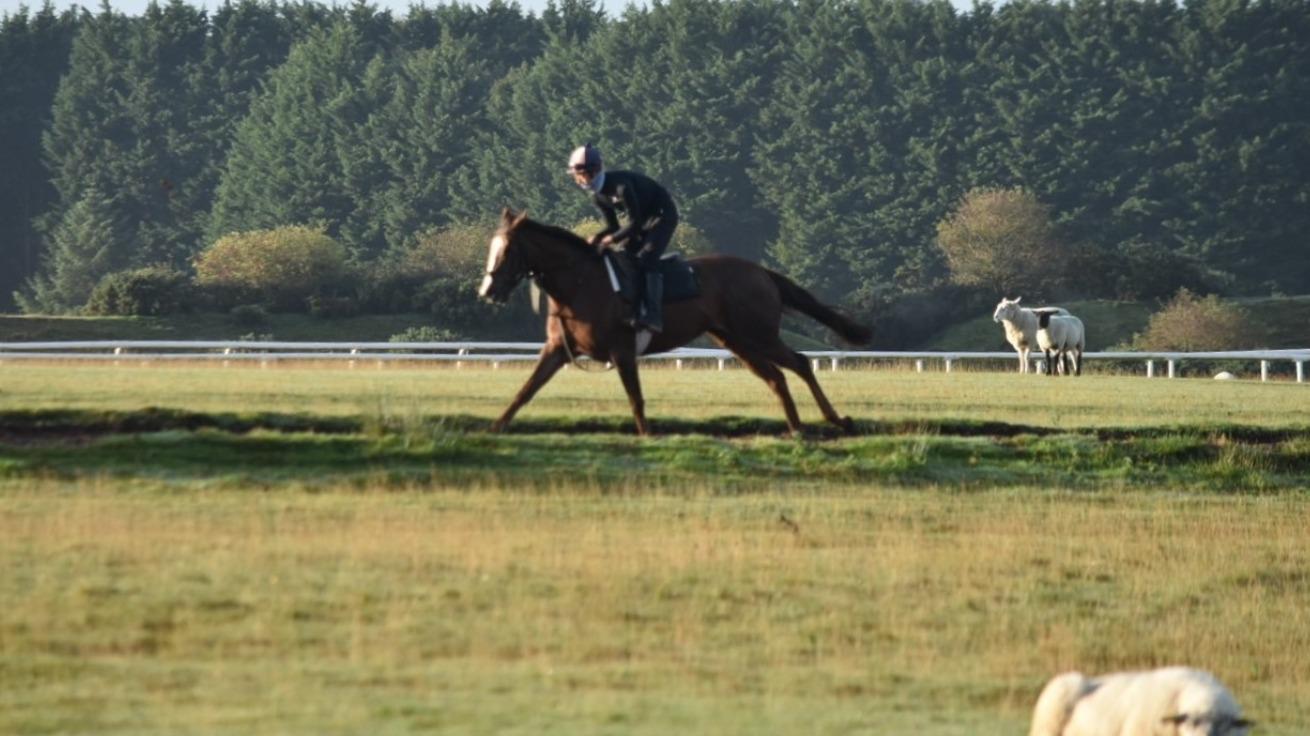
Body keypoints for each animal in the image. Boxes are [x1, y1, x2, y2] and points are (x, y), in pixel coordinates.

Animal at [479, 209, 869, 432]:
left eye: (508, 250)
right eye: (491, 247)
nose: (487, 290)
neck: (581, 282)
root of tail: (762, 272)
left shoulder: (622, 350)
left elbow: (635, 399)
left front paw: (647, 436)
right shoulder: (558, 349)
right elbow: (526, 390)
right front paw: (494, 428)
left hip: (758, 334)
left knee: (800, 363)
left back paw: (834, 420)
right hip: (735, 340)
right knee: (776, 377)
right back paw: (796, 428)